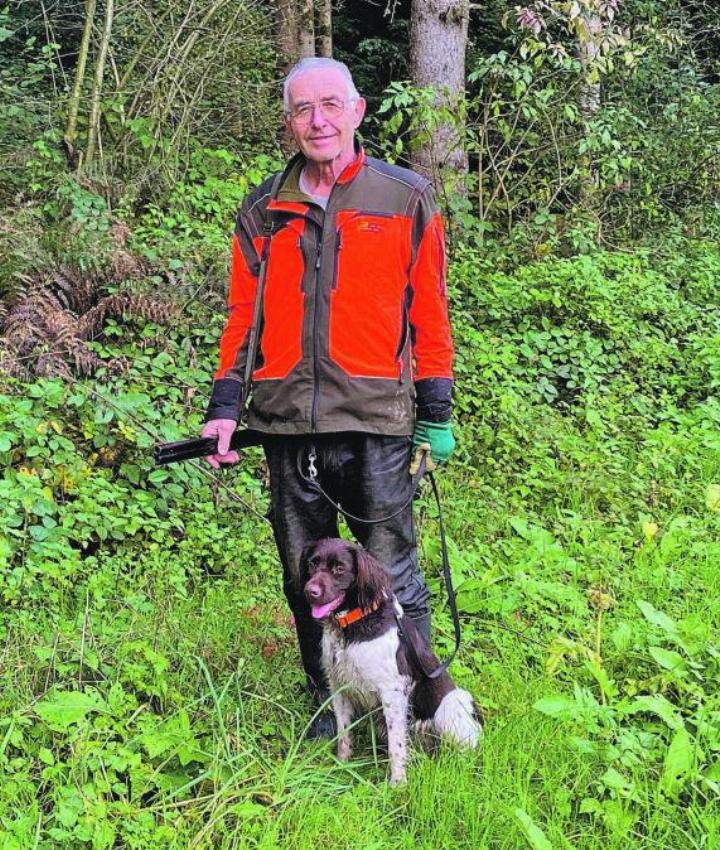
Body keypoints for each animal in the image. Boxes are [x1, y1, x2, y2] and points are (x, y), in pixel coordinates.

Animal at [300, 536, 480, 780]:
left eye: (339, 568)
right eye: (312, 564)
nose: (310, 591)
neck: (353, 626)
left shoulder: (392, 692)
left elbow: (397, 746)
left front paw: (397, 783)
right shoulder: (338, 685)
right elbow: (343, 733)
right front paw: (341, 768)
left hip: (453, 702)